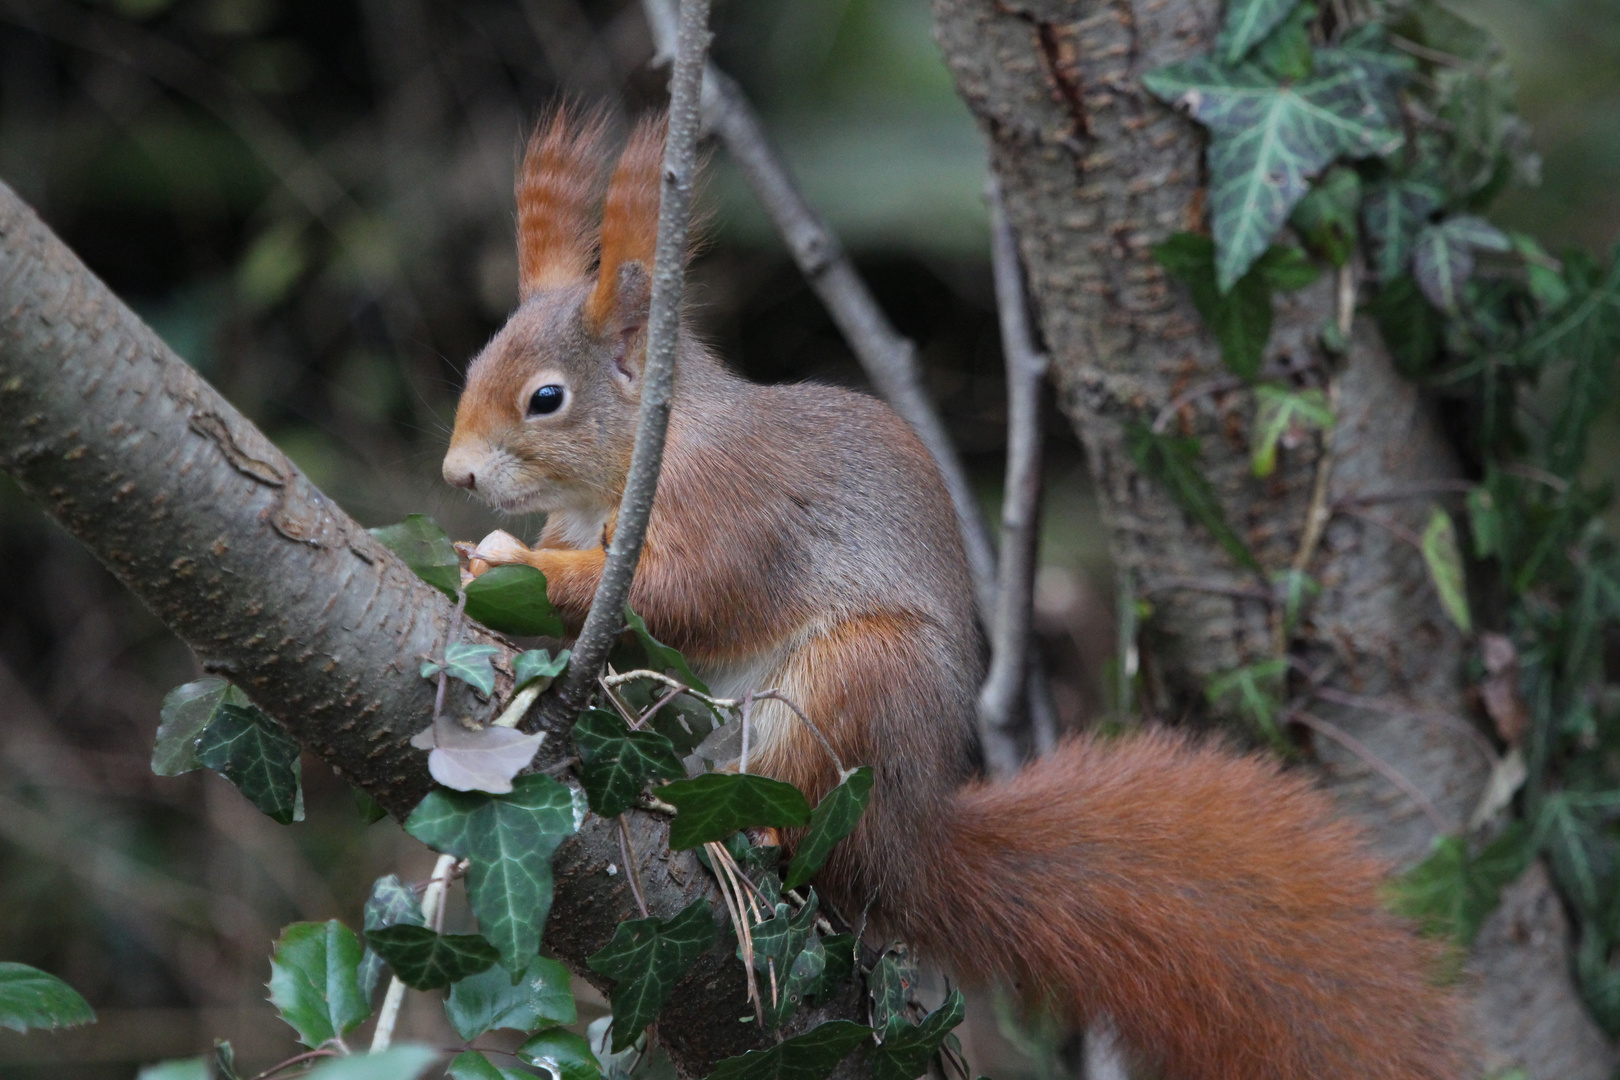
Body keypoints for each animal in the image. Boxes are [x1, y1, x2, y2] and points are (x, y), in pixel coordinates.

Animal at [440, 110, 1470, 1080]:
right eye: (475, 362)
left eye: (545, 399)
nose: (455, 475)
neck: (631, 461)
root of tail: (909, 835)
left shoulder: (735, 507)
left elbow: (687, 594)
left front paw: (514, 567)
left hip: (855, 682)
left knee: (812, 827)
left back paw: (761, 832)